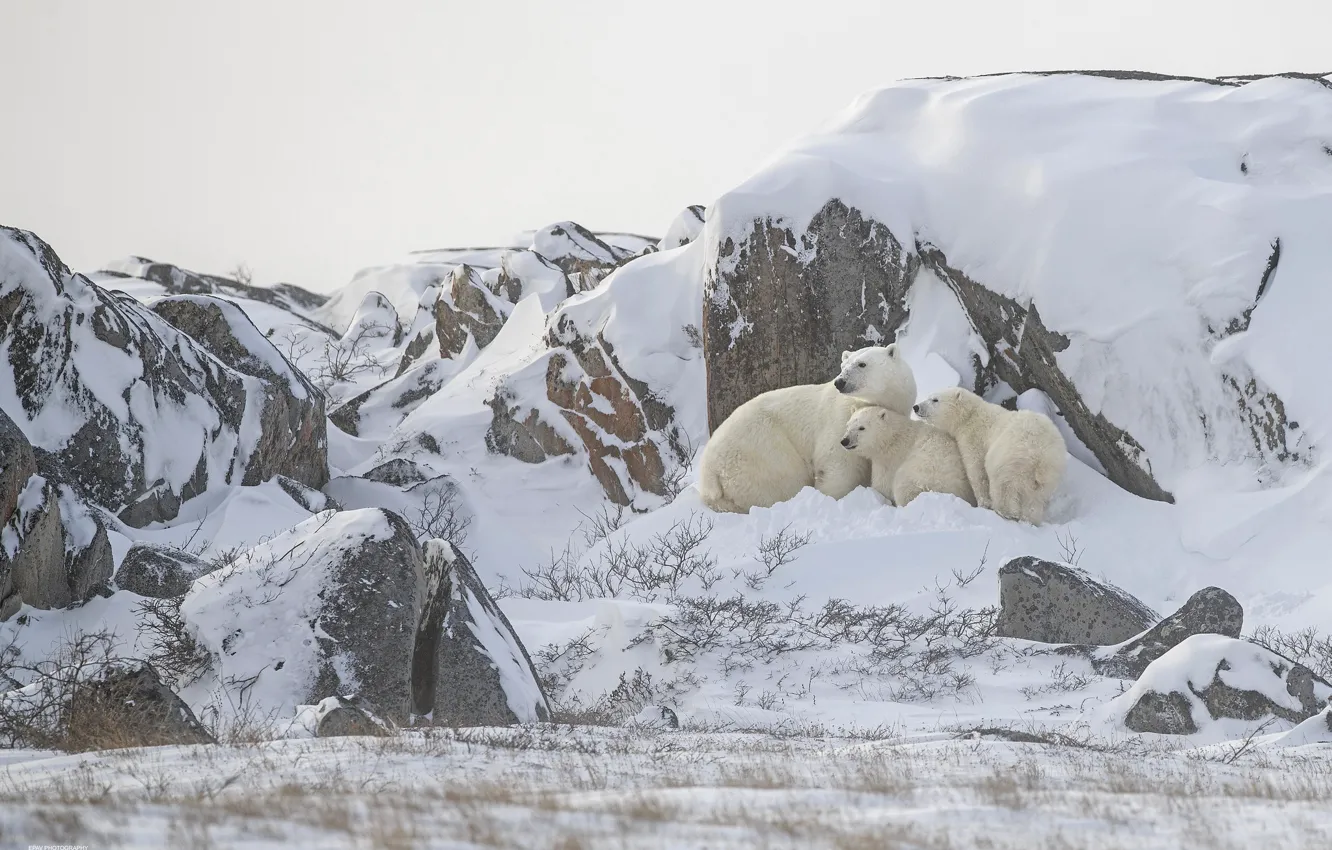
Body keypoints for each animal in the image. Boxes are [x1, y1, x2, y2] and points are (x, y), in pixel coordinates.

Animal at [697, 344, 916, 513]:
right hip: (762, 453)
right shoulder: (839, 422)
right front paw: (833, 498)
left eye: (862, 364)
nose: (840, 381)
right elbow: (839, 465)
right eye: (843, 365)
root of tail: (708, 472)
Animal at [839, 406, 976, 508]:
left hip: (922, 473)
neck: (892, 438)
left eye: (862, 427)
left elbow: (883, 485)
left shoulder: (890, 460)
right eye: (848, 425)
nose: (845, 441)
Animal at [912, 387, 1067, 525]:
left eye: (935, 399)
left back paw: (1003, 512)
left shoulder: (974, 439)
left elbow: (977, 471)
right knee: (1035, 500)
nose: (916, 407)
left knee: (1002, 485)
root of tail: (1040, 455)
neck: (971, 415)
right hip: (1049, 475)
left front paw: (983, 503)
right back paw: (1030, 520)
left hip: (1009, 457)